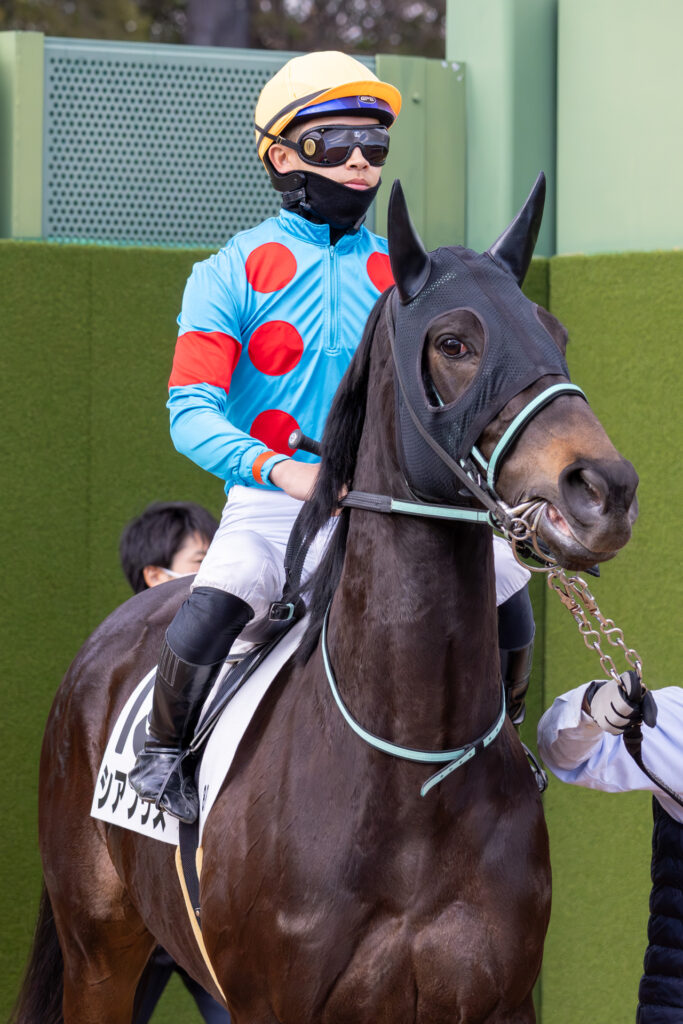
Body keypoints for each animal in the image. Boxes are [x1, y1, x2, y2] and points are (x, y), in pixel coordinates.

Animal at [15, 175, 639, 1024]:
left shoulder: (499, 1001)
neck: (407, 777)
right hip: (99, 954)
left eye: (556, 332)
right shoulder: (272, 1002)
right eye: (453, 343)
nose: (603, 489)